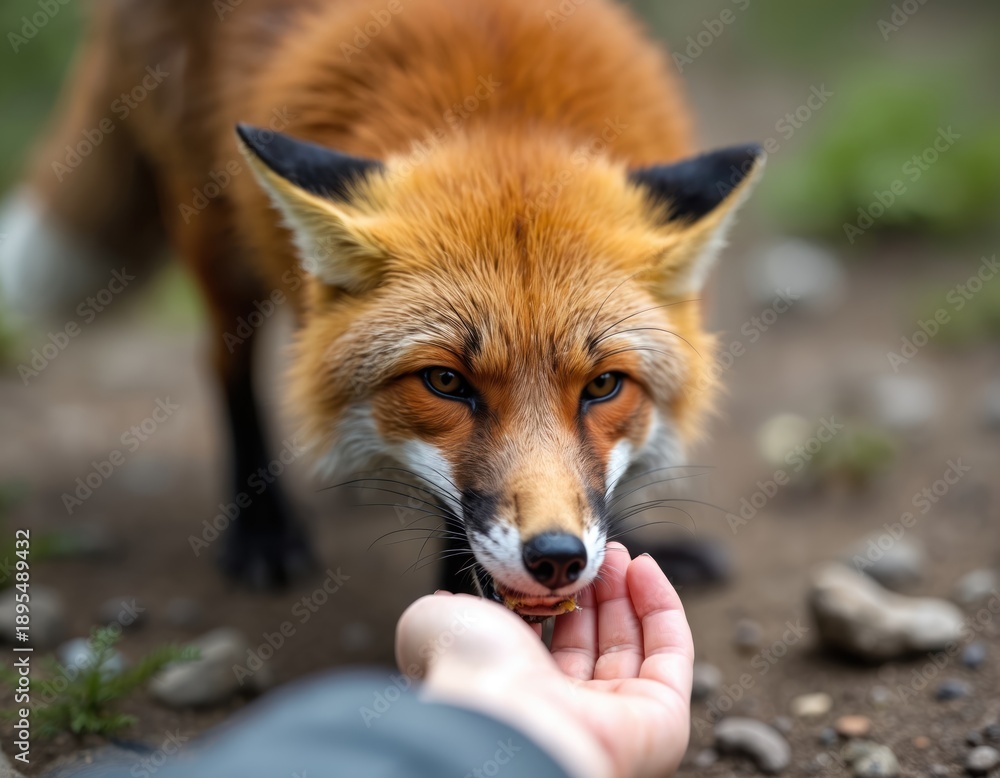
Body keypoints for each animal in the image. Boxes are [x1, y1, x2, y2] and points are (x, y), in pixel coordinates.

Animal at [0, 0, 762, 615]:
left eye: (604, 386)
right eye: (446, 382)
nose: (556, 558)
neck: (503, 104)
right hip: (214, 224)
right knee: (223, 365)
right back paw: (262, 530)